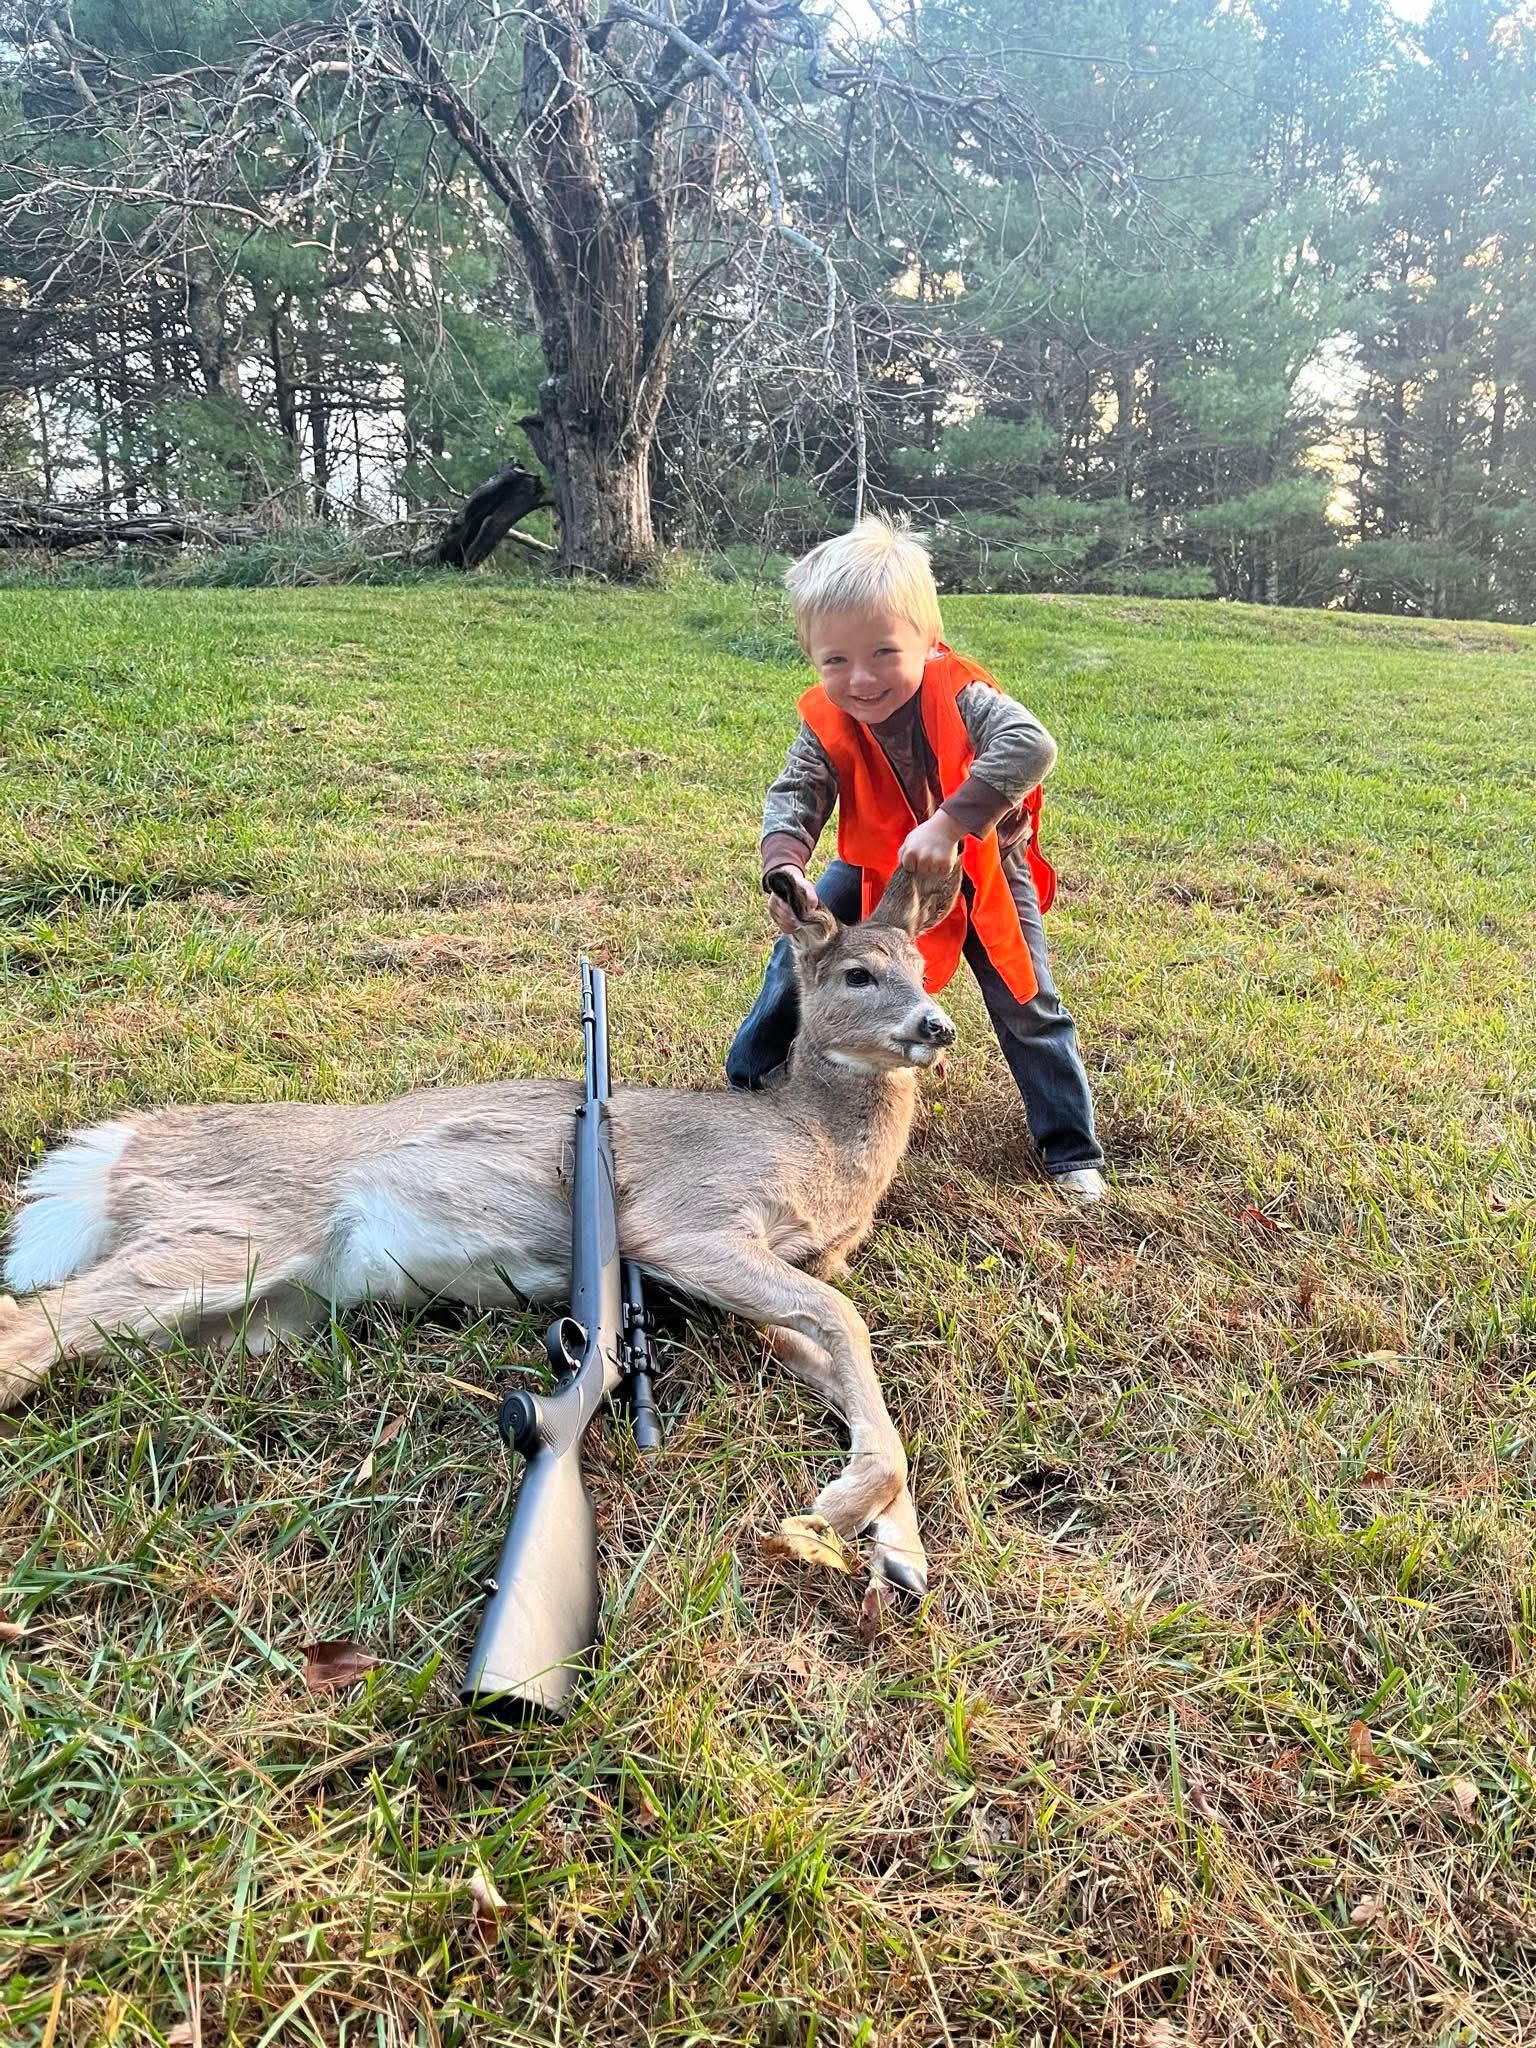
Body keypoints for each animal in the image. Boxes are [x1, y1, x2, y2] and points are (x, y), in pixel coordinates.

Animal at [0, 866, 959, 1598]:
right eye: (858, 974)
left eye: (923, 965)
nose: (936, 1025)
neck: (808, 1144)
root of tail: (115, 1154)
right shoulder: (688, 1224)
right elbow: (848, 1322)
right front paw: (833, 1513)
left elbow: (849, 1367)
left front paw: (897, 1553)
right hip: (222, 1236)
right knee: (31, 1321)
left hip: (256, 1315)